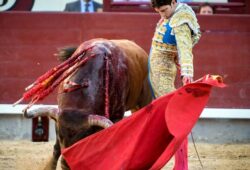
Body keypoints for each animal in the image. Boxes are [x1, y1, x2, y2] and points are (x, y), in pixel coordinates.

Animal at [18, 38, 151, 170]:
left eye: (82, 141)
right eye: (61, 136)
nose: (66, 165)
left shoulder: (116, 116)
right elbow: (56, 148)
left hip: (145, 100)